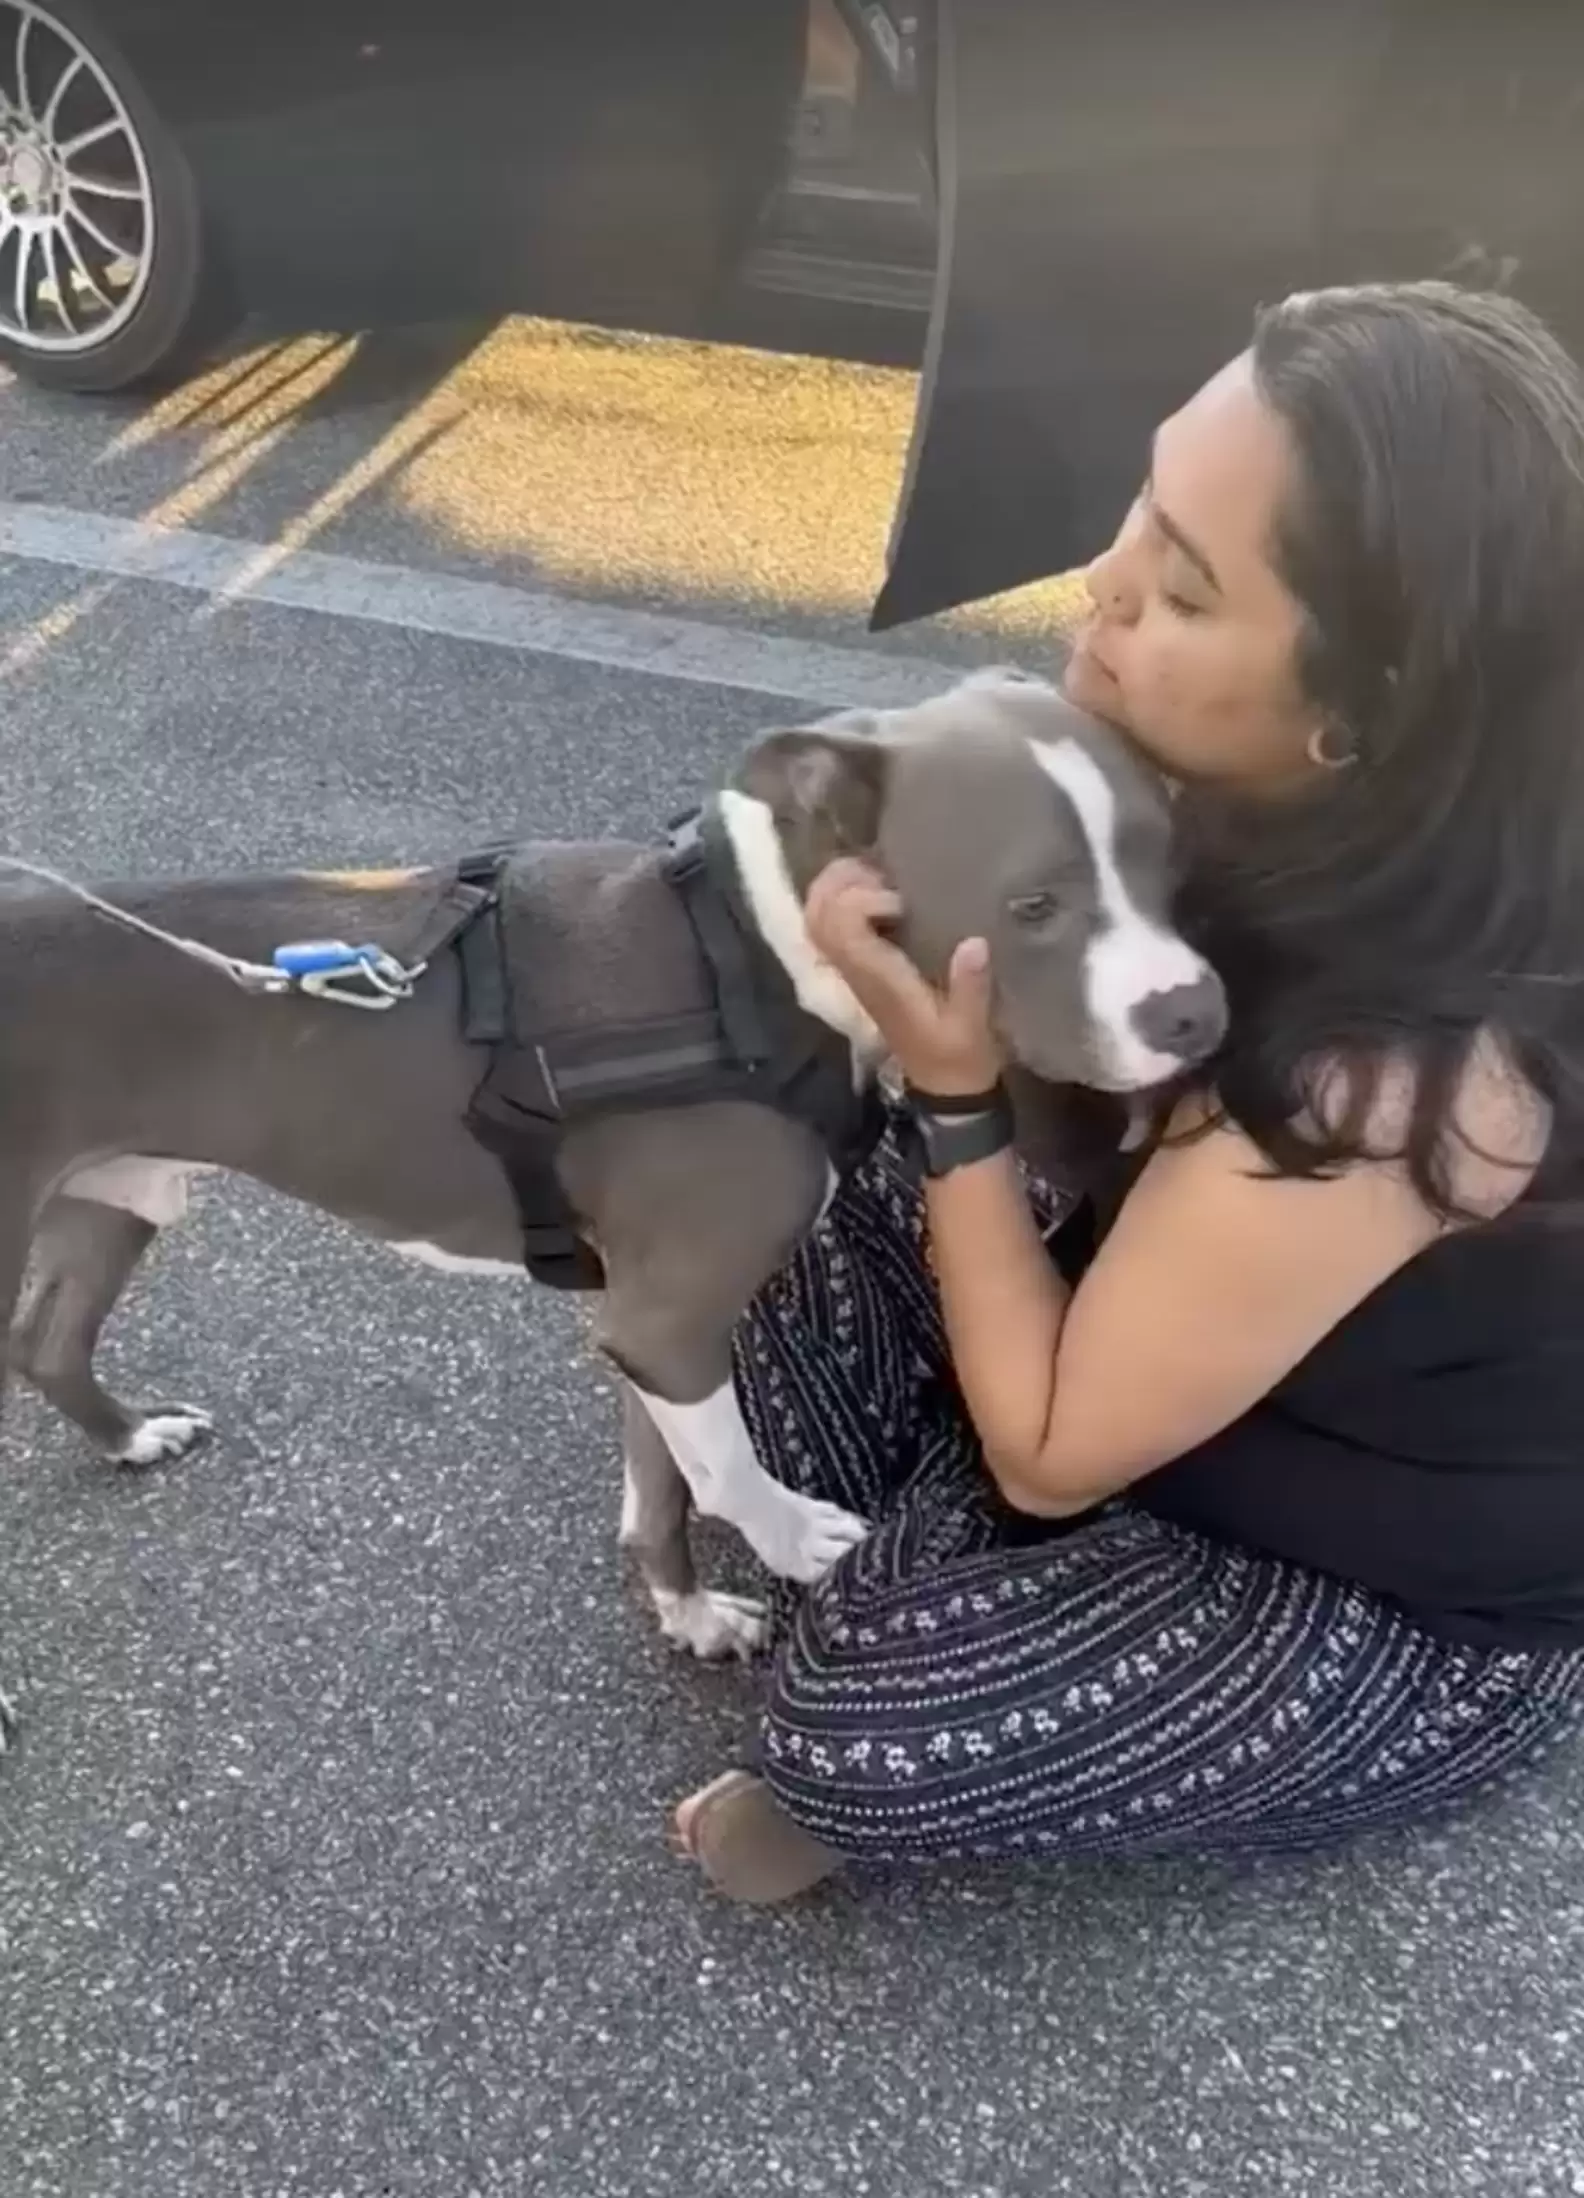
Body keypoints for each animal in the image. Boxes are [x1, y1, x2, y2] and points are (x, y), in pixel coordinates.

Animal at [0, 668, 1221, 1661]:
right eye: (1033, 904)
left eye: (1170, 865)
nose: (1198, 1012)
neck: (756, 959)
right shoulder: (668, 1317)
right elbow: (721, 1465)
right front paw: (795, 1535)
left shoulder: (649, 1322)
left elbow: (662, 1478)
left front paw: (685, 1611)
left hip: (110, 1196)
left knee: (46, 1338)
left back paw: (129, 1437)